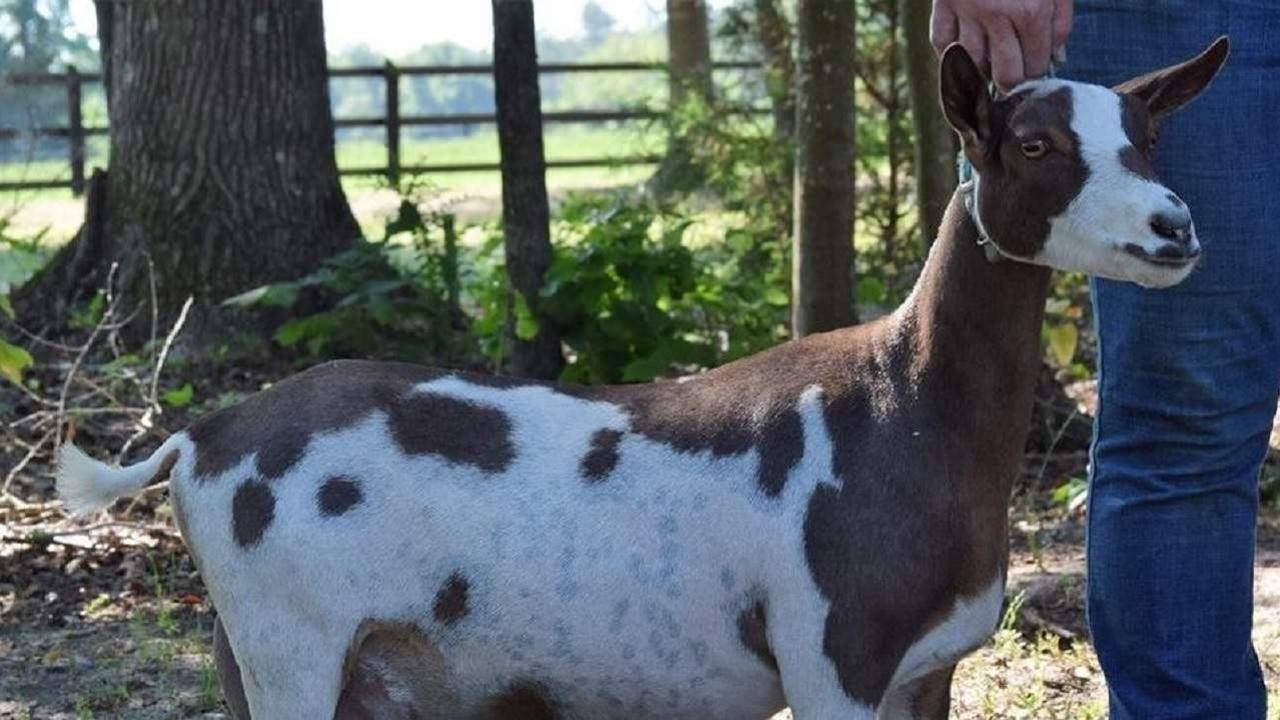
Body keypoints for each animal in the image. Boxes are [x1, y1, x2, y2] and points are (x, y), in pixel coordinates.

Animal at [57, 38, 1229, 719]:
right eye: (1031, 144)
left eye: (1147, 133)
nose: (1172, 228)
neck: (902, 409)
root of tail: (205, 437)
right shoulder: (833, 662)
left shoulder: (923, 671)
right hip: (289, 639)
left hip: (288, 660)